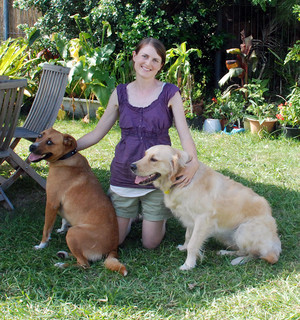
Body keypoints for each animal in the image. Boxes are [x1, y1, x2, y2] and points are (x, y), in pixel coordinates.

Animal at [30, 127, 127, 276]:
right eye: (40, 136)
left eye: (50, 142)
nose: (31, 147)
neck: (66, 157)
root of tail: (113, 249)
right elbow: (64, 220)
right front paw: (61, 228)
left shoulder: (51, 203)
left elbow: (46, 229)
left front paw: (41, 245)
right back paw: (63, 254)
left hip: (73, 233)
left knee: (84, 264)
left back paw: (61, 265)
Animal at [131, 145, 282, 270]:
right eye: (144, 155)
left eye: (154, 159)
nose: (131, 166)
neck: (180, 180)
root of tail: (275, 246)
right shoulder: (190, 219)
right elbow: (188, 237)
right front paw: (184, 248)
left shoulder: (203, 220)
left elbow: (193, 244)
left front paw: (188, 265)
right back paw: (226, 253)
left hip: (243, 230)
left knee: (258, 254)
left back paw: (238, 260)